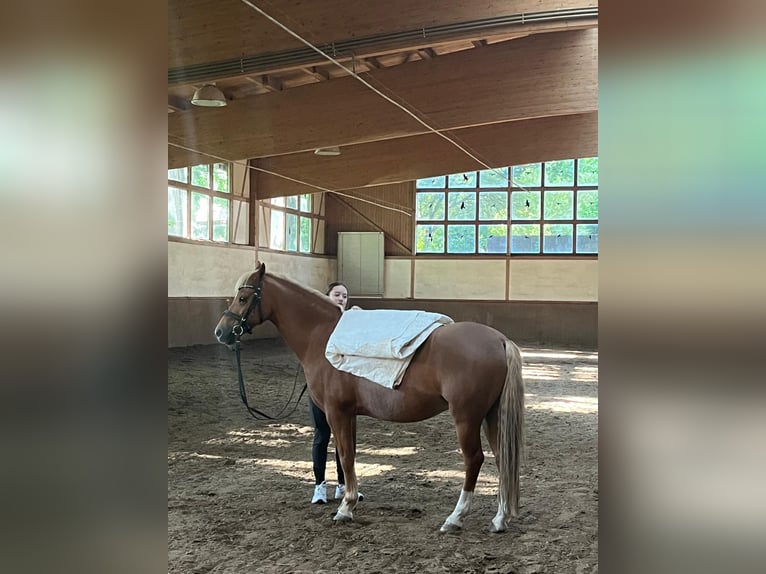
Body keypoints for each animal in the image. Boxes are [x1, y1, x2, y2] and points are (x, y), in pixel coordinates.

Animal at [214, 262, 525, 533]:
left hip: (466, 418)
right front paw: (348, 499)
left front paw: (345, 508)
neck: (322, 336)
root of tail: (500, 340)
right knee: (502, 458)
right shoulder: (348, 414)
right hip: (491, 416)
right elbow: (347, 455)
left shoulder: (336, 412)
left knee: (474, 460)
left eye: (243, 297)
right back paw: (500, 519)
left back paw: (455, 518)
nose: (221, 332)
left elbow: (345, 456)